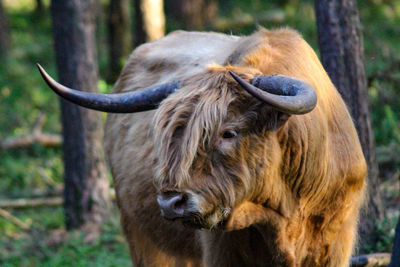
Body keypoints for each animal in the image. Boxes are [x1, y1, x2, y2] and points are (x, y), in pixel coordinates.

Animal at [39, 28, 368, 266]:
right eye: (169, 135)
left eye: (229, 133)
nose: (171, 202)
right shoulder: (222, 250)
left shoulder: (334, 246)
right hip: (142, 235)